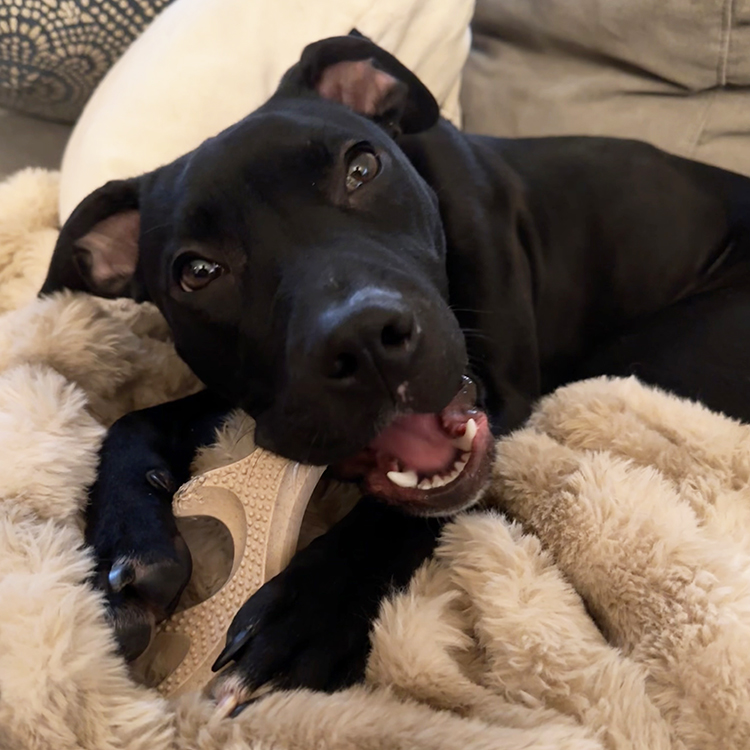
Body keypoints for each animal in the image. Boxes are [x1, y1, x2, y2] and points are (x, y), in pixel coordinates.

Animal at [41, 34, 750, 708]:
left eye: (362, 167)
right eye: (197, 271)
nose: (364, 340)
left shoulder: (504, 394)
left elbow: (401, 512)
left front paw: (309, 610)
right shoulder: (266, 402)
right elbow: (131, 422)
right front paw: (126, 551)